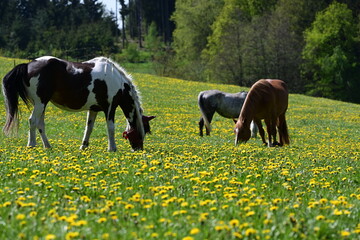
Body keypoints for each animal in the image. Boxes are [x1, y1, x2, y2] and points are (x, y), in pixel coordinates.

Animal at [2, 55, 155, 152]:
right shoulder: (110, 108)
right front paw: (112, 148)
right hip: (40, 103)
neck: (116, 80)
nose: (138, 149)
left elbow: (89, 128)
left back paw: (48, 146)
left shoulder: (93, 109)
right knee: (32, 121)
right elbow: (110, 128)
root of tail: (28, 65)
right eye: (144, 130)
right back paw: (31, 145)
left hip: (42, 104)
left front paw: (84, 146)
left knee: (40, 124)